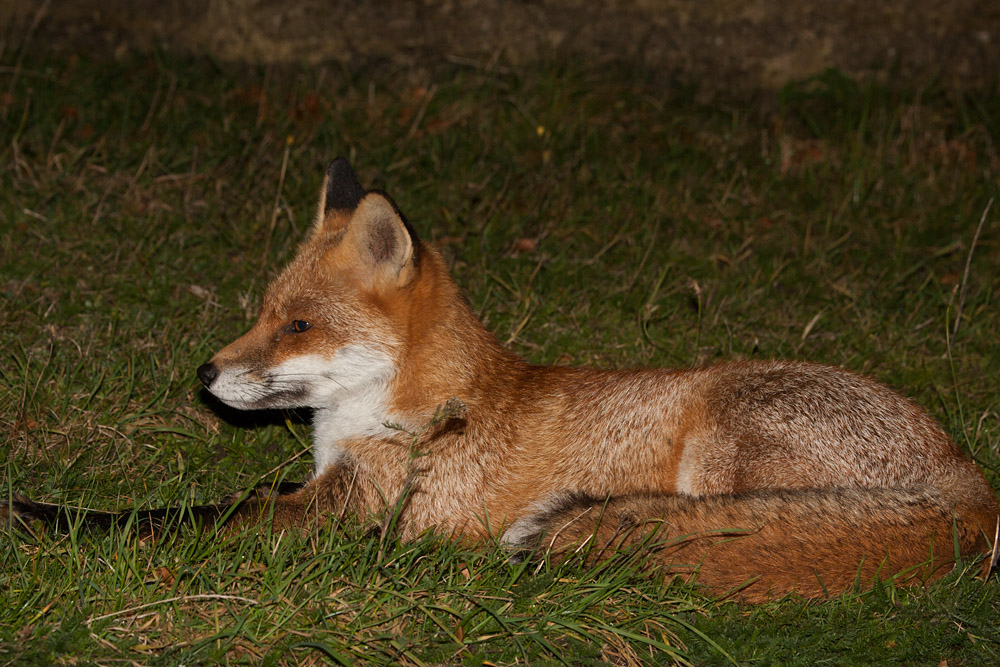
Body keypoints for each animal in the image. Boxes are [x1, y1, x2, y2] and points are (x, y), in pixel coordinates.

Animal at [4, 158, 998, 602]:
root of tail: (969, 485)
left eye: (299, 325)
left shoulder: (346, 513)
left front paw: (43, 517)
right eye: (265, 311)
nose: (205, 371)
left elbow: (177, 517)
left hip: (721, 441)